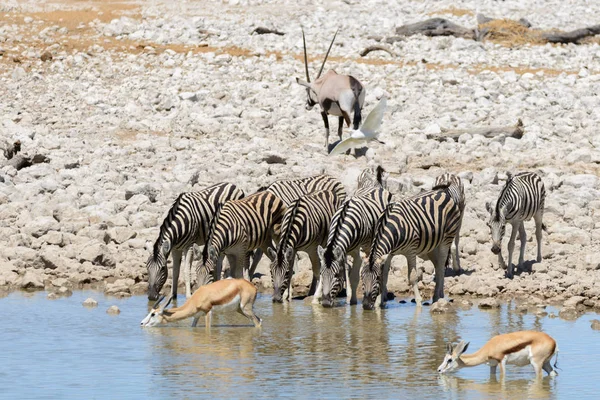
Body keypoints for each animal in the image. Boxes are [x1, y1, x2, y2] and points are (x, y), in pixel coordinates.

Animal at [316, 165, 392, 306]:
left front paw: (353, 301)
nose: (325, 303)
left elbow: (354, 277)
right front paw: (316, 298)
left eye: (336, 275)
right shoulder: (342, 251)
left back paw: (382, 297)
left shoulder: (357, 252)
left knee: (383, 266)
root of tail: (376, 185)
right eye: (321, 273)